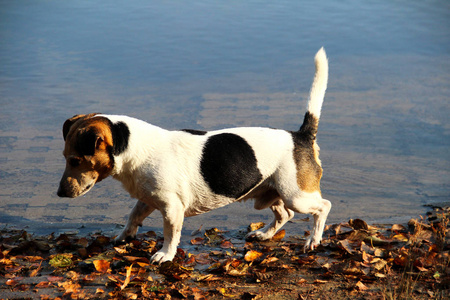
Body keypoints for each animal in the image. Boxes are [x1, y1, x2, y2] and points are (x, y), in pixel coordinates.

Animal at [57, 48, 330, 264]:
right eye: (65, 157)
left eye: (75, 161)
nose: (59, 193)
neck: (135, 149)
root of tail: (300, 135)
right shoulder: (147, 199)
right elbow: (133, 216)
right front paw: (125, 236)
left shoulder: (172, 208)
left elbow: (171, 234)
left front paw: (165, 255)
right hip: (269, 193)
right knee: (285, 214)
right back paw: (264, 234)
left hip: (296, 195)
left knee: (322, 207)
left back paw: (313, 240)